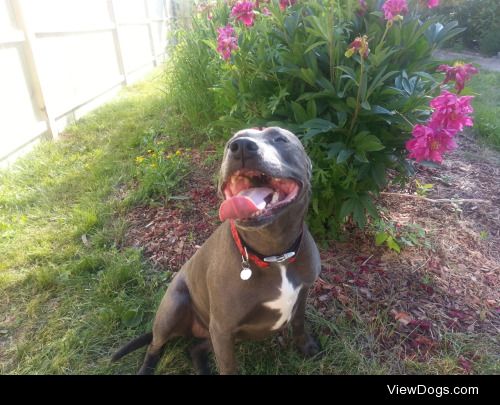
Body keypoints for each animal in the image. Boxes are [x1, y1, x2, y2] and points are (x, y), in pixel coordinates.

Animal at [111, 125, 322, 372]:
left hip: (210, 335)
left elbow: (298, 323)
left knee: (194, 350)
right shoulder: (222, 329)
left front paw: (306, 346)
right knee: (155, 345)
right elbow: (228, 368)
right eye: (231, 141)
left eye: (280, 139)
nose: (241, 146)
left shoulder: (302, 294)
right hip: (174, 308)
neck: (275, 255)